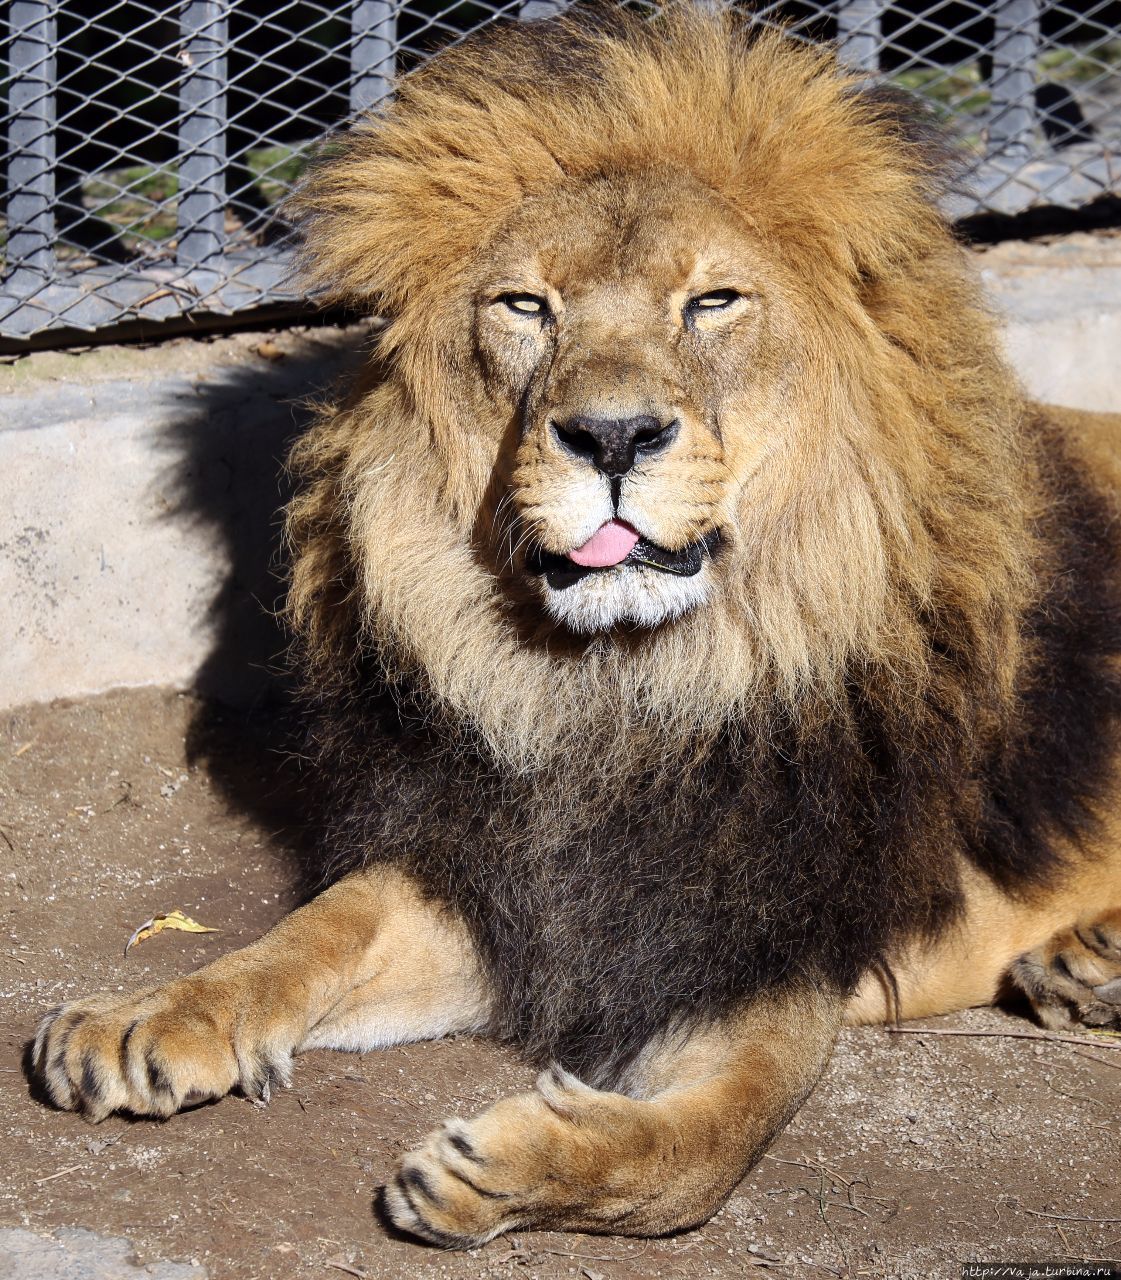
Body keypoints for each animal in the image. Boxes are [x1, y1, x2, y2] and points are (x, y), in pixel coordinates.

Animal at [26, 0, 1121, 1249]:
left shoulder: (773, 944)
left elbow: (701, 1148)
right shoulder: (506, 882)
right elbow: (315, 932)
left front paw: (503, 1167)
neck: (621, 691)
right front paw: (151, 1015)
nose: (609, 435)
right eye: (525, 306)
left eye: (711, 302)